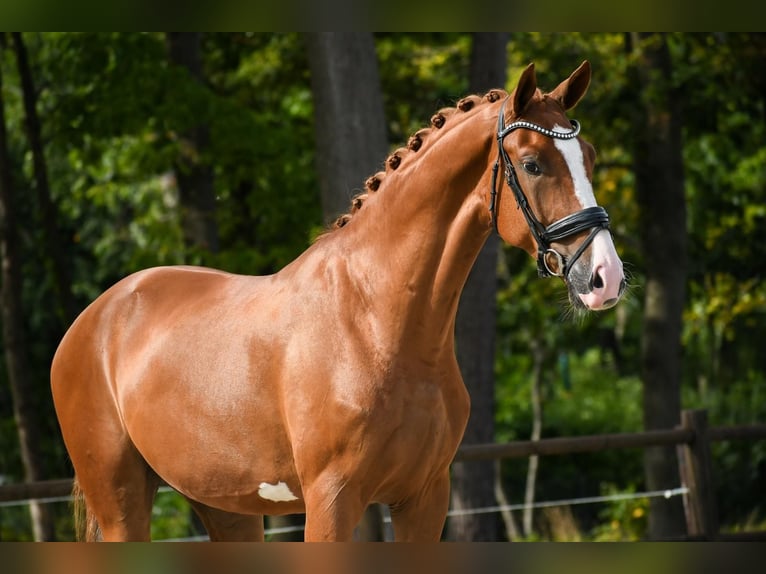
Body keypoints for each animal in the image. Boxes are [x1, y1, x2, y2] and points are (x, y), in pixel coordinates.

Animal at [51, 60, 625, 542]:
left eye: (590, 158)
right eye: (532, 164)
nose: (605, 278)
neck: (377, 322)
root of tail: (93, 320)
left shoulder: (424, 498)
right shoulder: (332, 501)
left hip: (226, 508)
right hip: (120, 504)